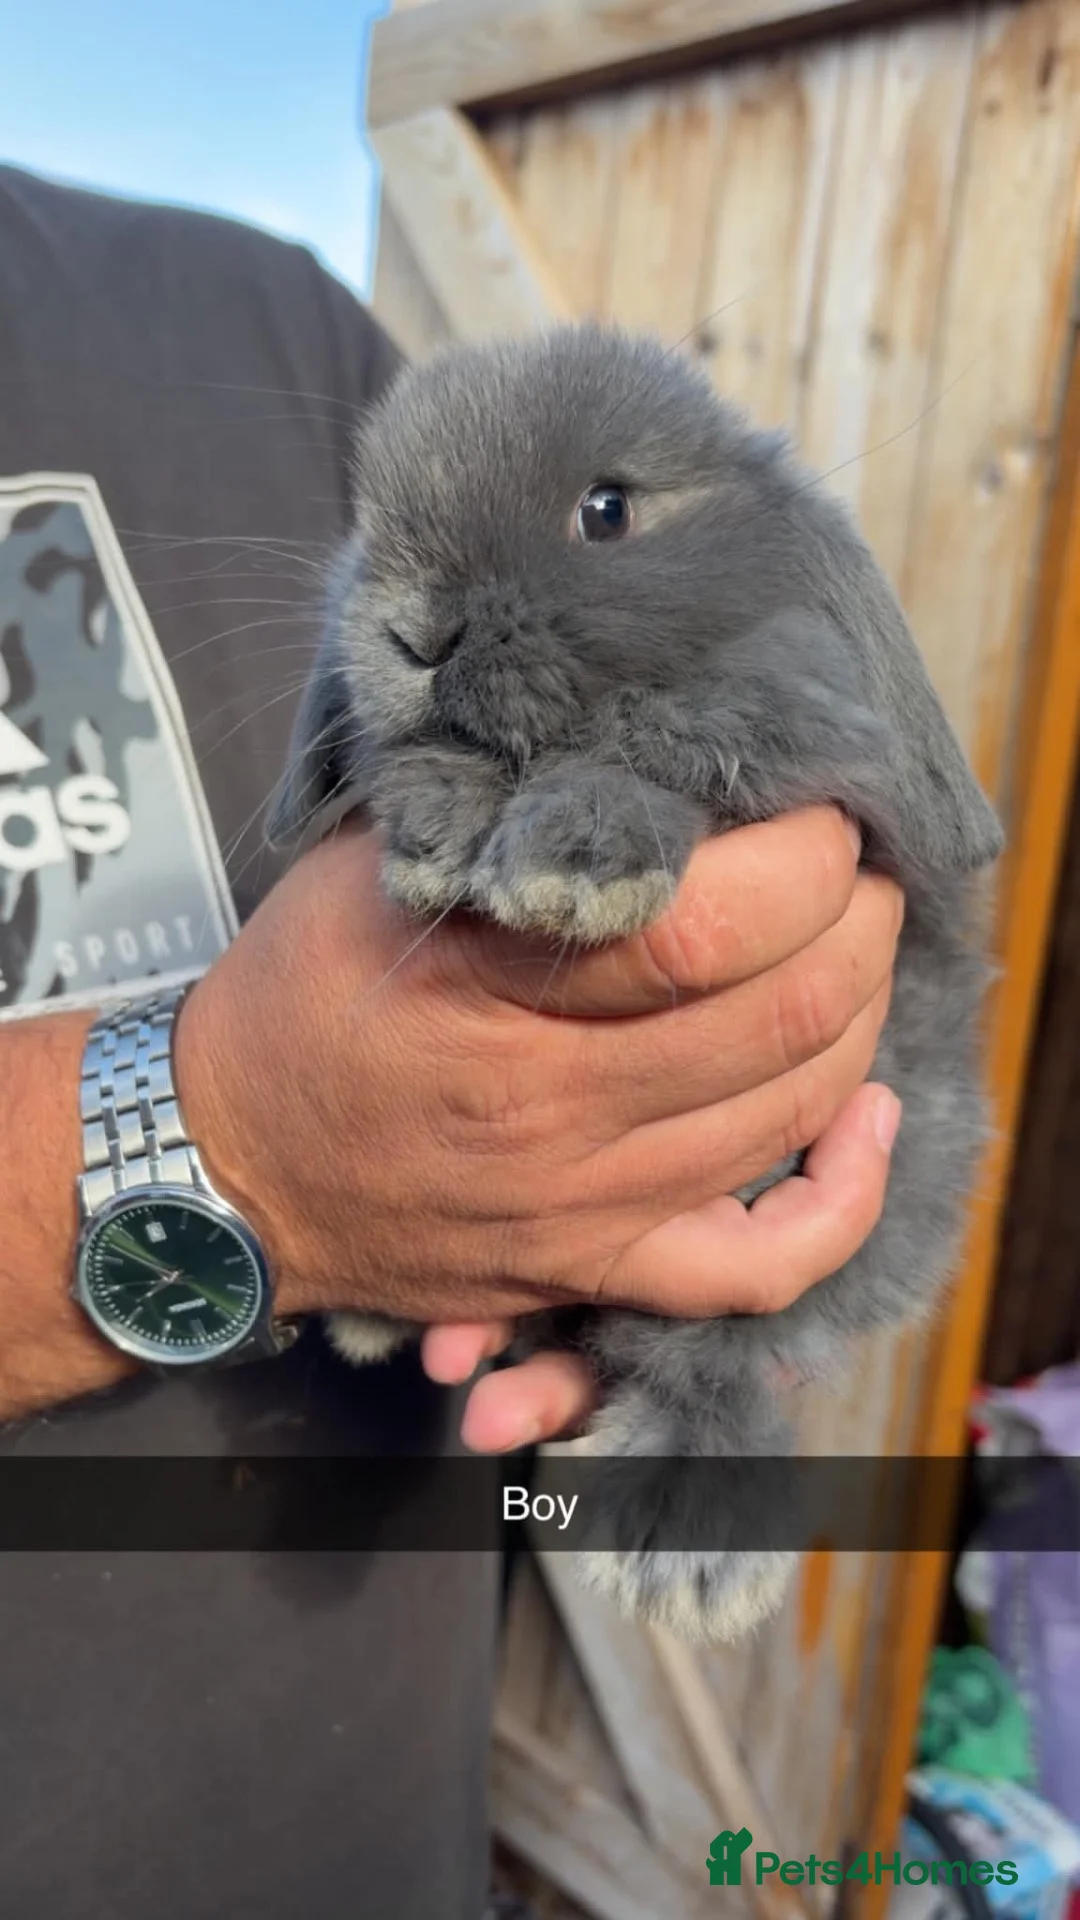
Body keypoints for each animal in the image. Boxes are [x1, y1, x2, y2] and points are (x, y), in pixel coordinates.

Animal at [266, 322, 1003, 1643]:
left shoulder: (790, 747)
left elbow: (665, 754)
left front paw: (567, 868)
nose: (414, 631)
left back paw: (681, 1547)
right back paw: (377, 1303)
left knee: (707, 1371)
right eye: (371, 522)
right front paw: (439, 833)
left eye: (606, 510)